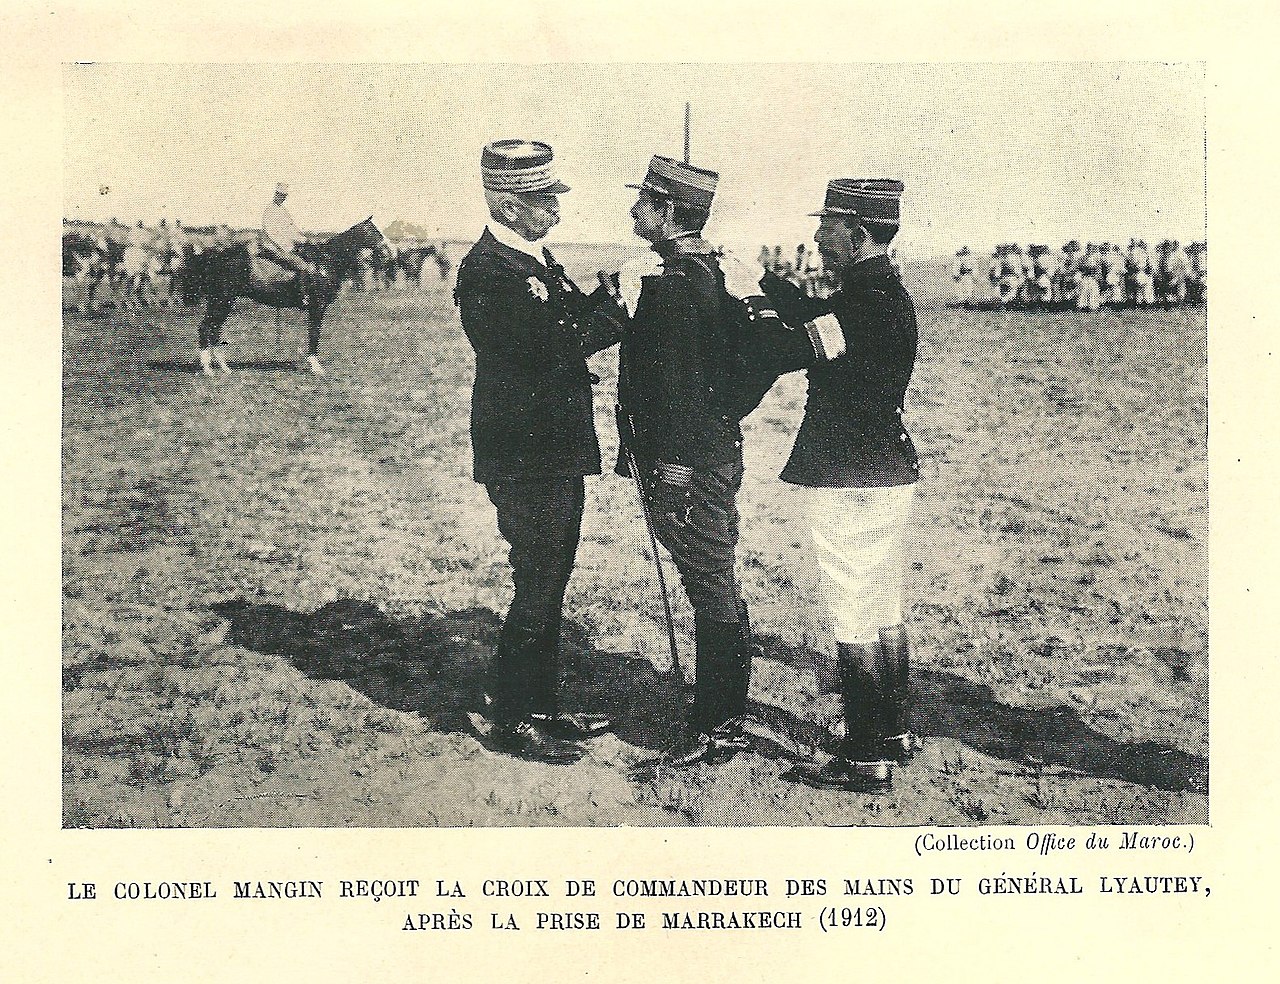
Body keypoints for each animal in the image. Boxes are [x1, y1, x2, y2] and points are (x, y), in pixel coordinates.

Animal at [184, 216, 384, 376]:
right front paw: (316, 367)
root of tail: (215, 256)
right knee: (206, 328)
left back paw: (224, 367)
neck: (325, 262)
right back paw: (208, 369)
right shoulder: (317, 307)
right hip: (222, 300)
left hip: (222, 301)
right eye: (375, 232)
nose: (386, 251)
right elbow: (314, 334)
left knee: (214, 330)